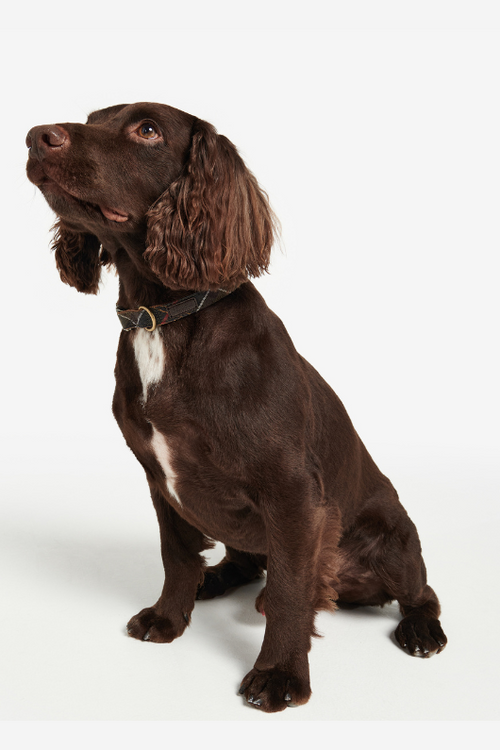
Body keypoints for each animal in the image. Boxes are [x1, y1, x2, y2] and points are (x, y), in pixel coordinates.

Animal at [25, 103, 448, 712]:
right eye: (92, 117)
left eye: (147, 130)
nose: (37, 137)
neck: (162, 317)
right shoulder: (159, 480)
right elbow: (177, 556)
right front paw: (169, 618)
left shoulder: (293, 494)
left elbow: (293, 590)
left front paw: (280, 674)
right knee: (246, 560)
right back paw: (217, 579)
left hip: (394, 539)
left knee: (420, 590)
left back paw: (420, 630)